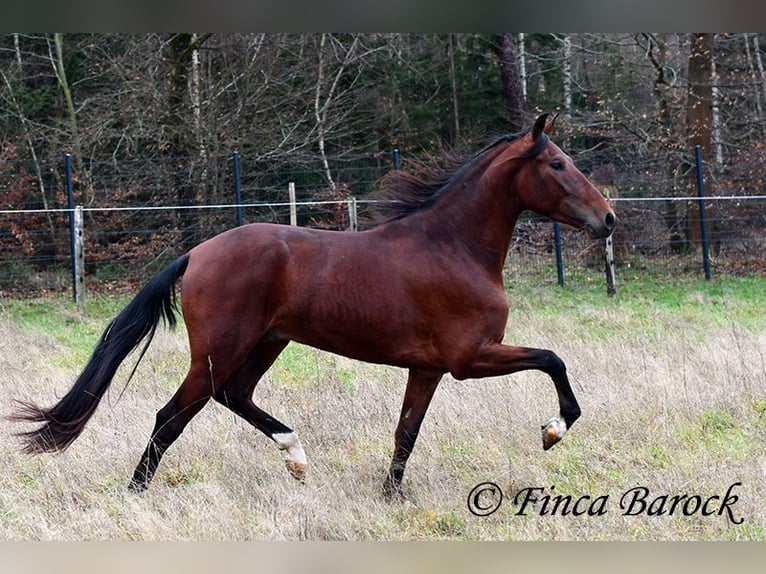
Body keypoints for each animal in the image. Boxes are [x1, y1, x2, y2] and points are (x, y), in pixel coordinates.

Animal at [12, 114, 615, 498]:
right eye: (558, 165)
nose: (607, 219)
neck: (454, 247)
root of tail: (197, 253)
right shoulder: (471, 358)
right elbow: (553, 359)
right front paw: (554, 430)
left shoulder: (428, 368)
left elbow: (406, 432)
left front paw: (390, 497)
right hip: (220, 351)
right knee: (173, 415)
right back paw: (137, 492)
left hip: (266, 343)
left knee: (233, 396)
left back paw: (295, 456)